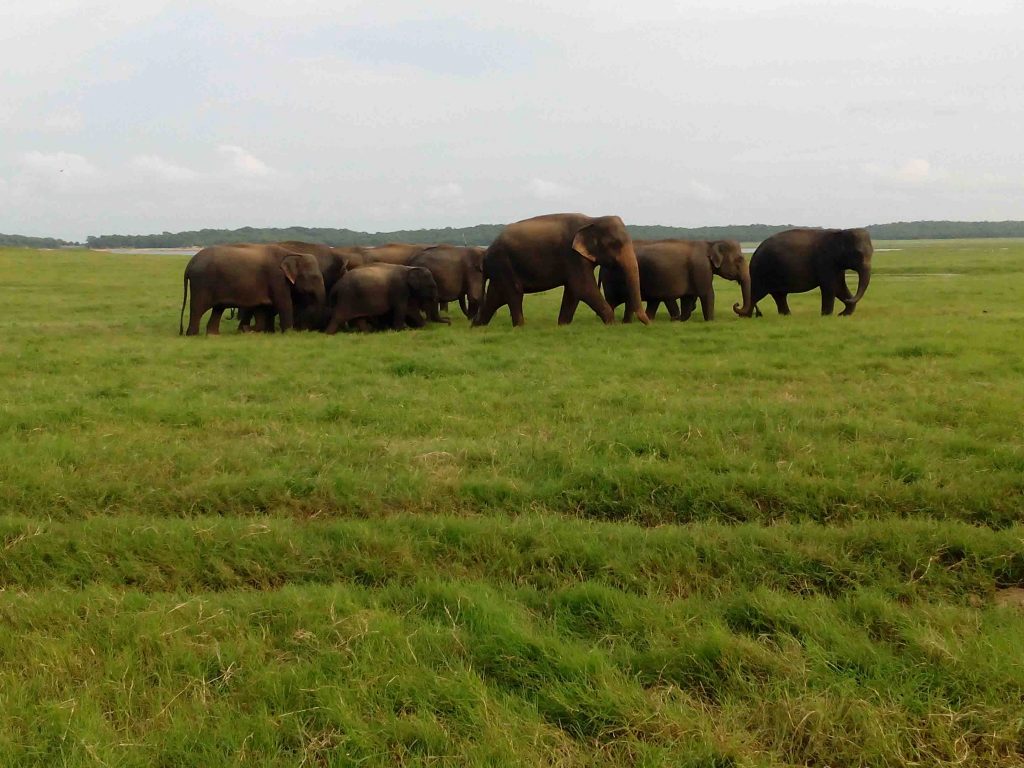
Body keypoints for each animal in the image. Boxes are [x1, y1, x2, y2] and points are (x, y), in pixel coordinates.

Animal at [180, 243, 326, 335]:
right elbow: (284, 304)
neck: (292, 254)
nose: (310, 331)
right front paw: (289, 333)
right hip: (201, 283)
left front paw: (248, 330)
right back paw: (192, 335)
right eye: (314, 277)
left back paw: (213, 335)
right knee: (198, 308)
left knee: (218, 309)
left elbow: (261, 308)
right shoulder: (277, 278)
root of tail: (190, 263)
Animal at [473, 213, 650, 327]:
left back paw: (477, 326)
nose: (648, 323)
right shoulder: (572, 256)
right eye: (615, 244)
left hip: (500, 268)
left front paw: (563, 325)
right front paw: (611, 324)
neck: (592, 220)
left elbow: (573, 291)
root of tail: (486, 253)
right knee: (514, 293)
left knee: (495, 297)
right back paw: (520, 327)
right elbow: (582, 287)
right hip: (503, 263)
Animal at [599, 239, 752, 322]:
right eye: (740, 259)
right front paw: (710, 321)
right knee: (617, 302)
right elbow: (707, 294)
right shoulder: (701, 267)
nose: (736, 304)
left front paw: (681, 320)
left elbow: (688, 298)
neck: (711, 243)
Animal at [742, 228, 873, 316]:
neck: (840, 233)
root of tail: (755, 252)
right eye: (858, 254)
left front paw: (842, 315)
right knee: (757, 295)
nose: (847, 300)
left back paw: (787, 315)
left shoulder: (837, 266)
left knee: (779, 295)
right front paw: (826, 316)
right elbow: (830, 287)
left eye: (872, 252)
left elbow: (839, 287)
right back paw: (746, 316)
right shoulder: (826, 261)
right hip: (761, 272)